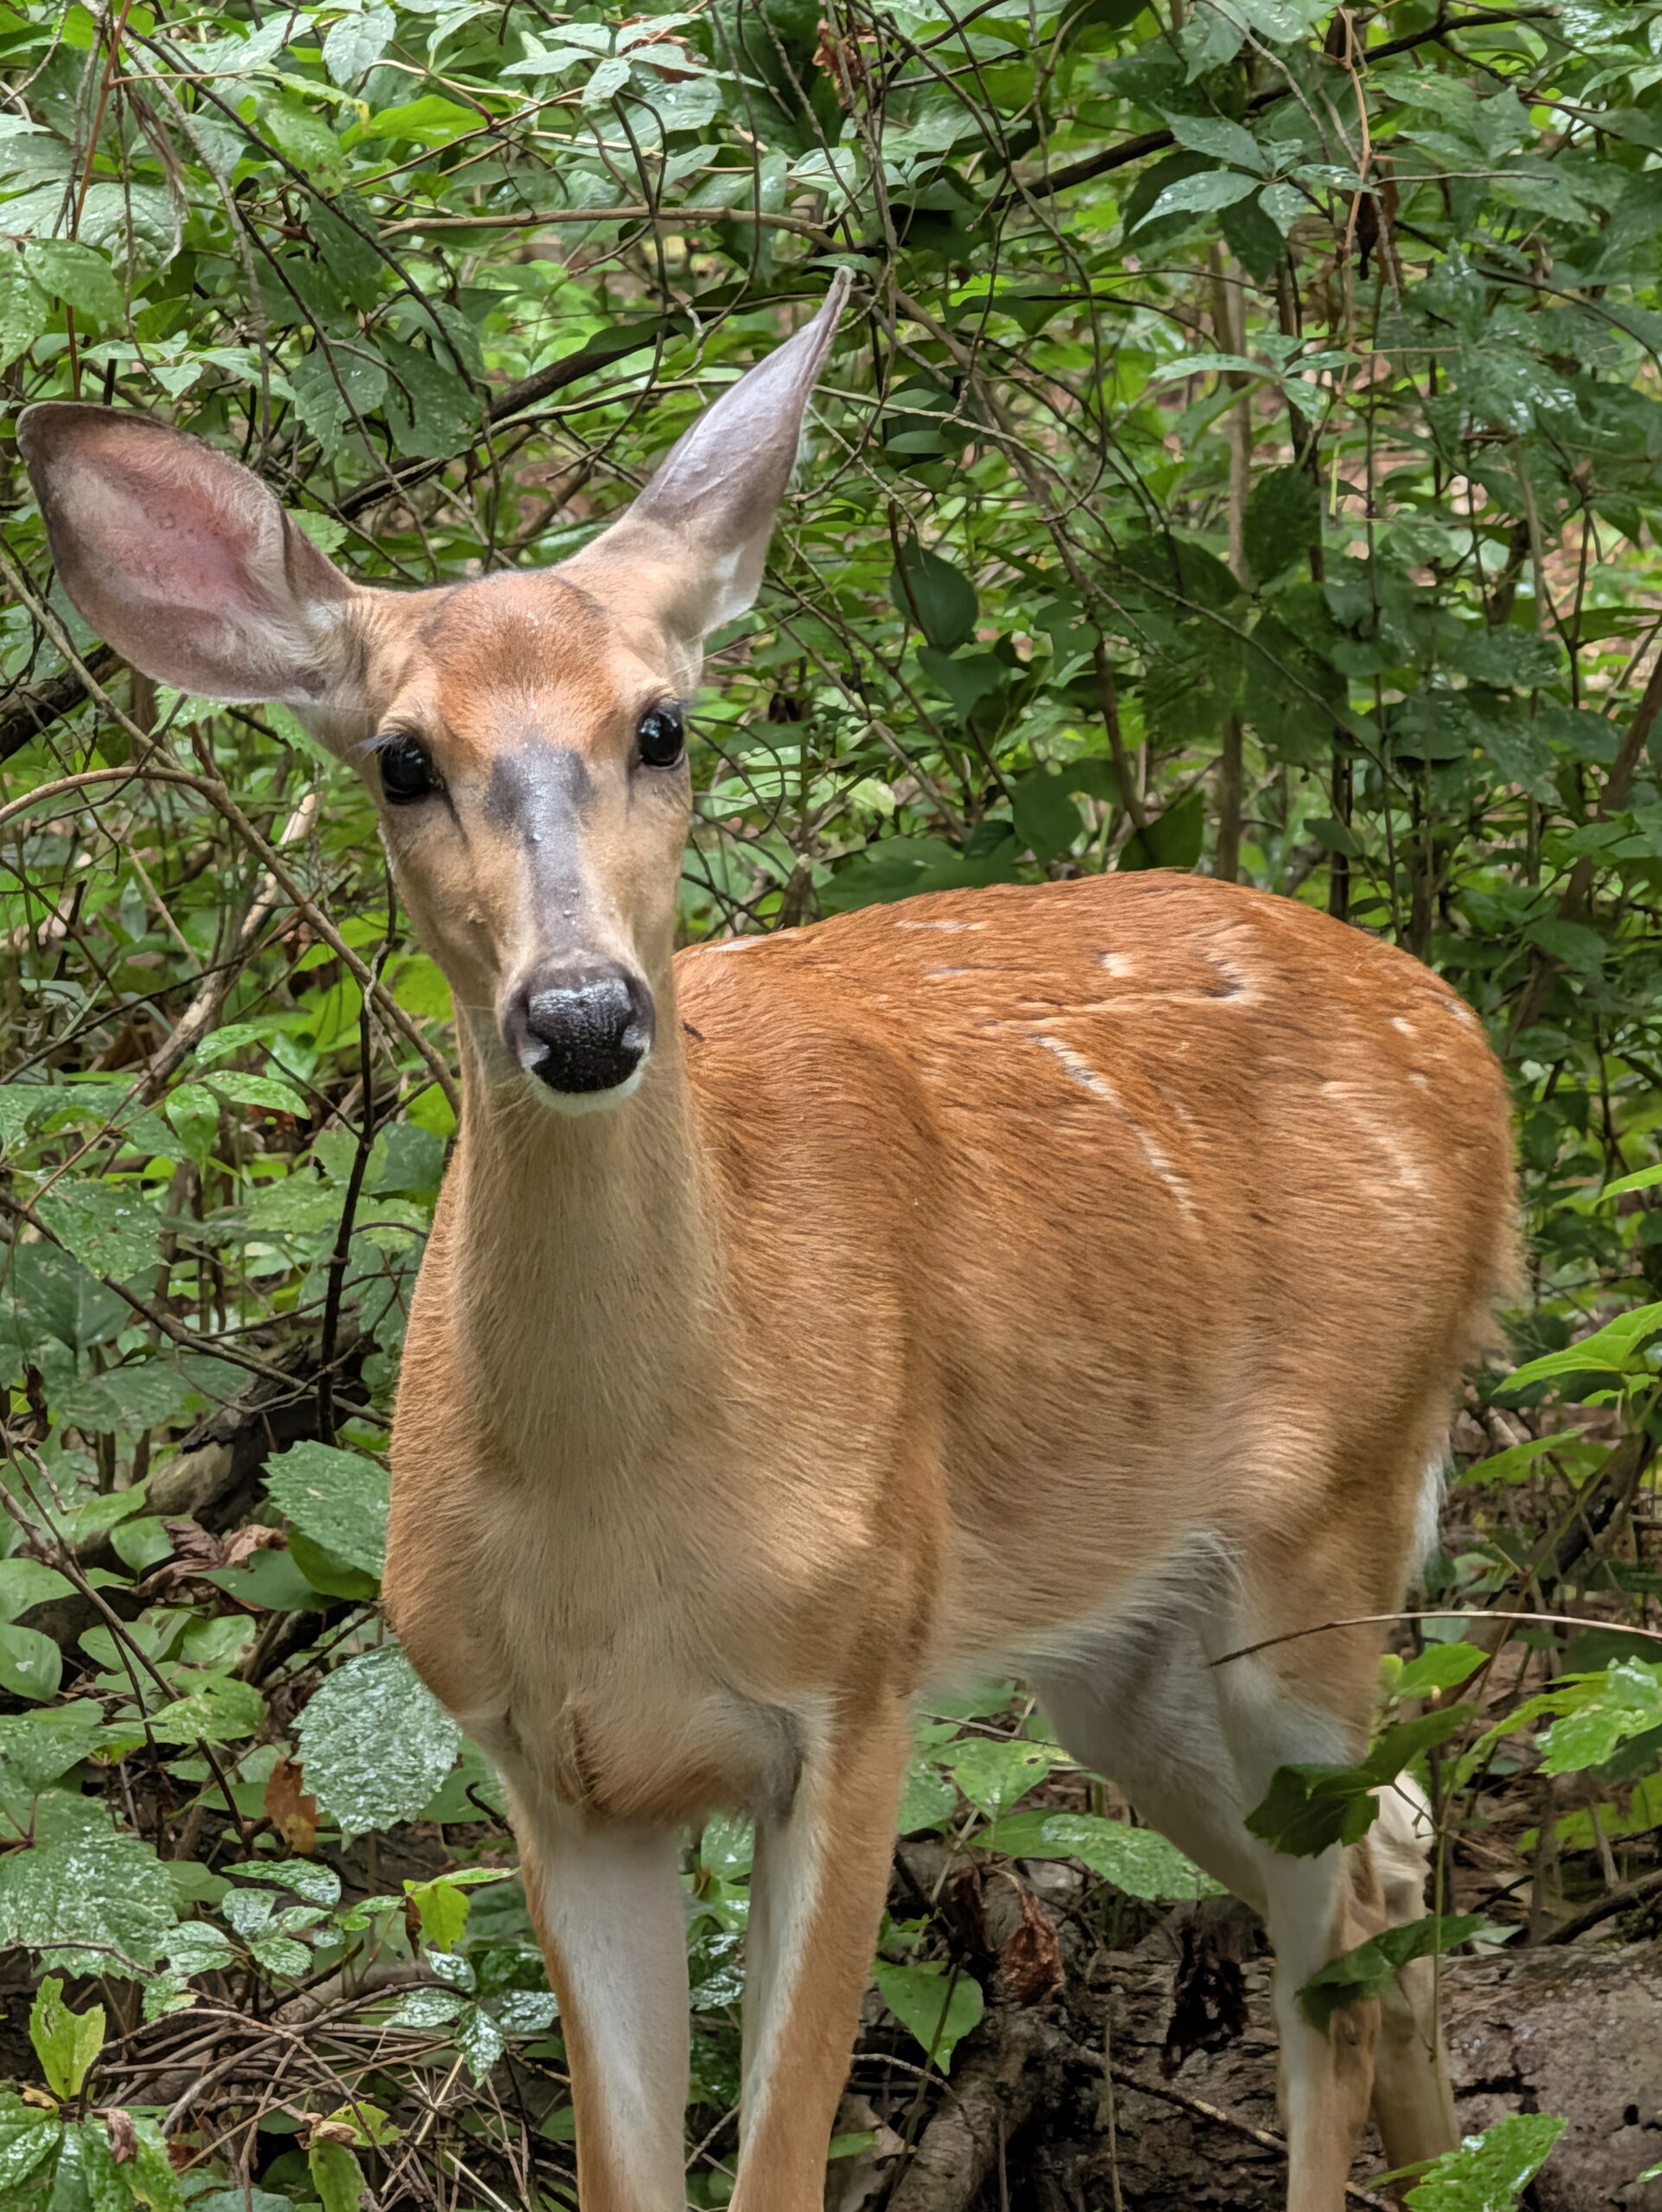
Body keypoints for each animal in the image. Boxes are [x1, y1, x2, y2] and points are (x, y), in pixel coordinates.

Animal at [20, 271, 1514, 2211]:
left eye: (659, 724)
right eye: (402, 759)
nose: (582, 1013)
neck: (622, 1507)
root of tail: (1465, 1045)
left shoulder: (856, 1678)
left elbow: (780, 2162)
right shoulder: (547, 1764)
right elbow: (628, 2175)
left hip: (1326, 1512)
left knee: (1334, 1910)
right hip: (1123, 1642)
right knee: (1377, 1848)